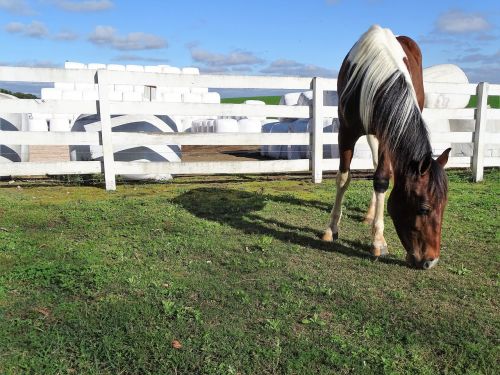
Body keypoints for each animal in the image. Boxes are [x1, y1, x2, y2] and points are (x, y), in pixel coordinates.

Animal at [322, 24, 452, 270]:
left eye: (445, 206)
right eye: (423, 208)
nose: (431, 261)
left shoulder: (389, 133)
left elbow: (381, 179)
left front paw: (378, 240)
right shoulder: (346, 131)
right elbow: (343, 178)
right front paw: (331, 229)